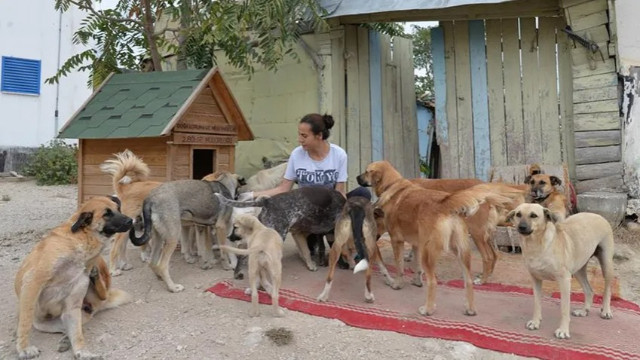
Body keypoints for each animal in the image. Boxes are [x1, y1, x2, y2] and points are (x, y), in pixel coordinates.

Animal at [13, 197, 132, 360]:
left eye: (118, 209)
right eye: (106, 214)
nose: (131, 220)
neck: (82, 239)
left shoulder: (73, 304)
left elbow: (77, 334)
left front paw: (82, 351)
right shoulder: (33, 282)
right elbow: (25, 322)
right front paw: (24, 348)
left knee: (100, 298)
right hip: (45, 322)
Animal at [358, 160, 524, 316]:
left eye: (366, 171)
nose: (356, 177)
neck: (393, 185)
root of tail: (446, 203)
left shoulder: (396, 240)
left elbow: (400, 267)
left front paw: (398, 284)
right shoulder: (417, 243)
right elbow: (417, 267)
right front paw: (417, 280)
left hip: (465, 238)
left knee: (436, 280)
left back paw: (428, 309)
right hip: (464, 248)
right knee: (473, 275)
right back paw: (472, 305)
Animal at [504, 204, 616, 338]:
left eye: (533, 215)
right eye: (518, 214)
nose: (521, 227)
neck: (536, 245)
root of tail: (598, 215)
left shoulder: (564, 280)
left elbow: (564, 309)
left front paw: (563, 330)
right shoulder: (535, 279)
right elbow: (537, 303)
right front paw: (535, 322)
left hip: (606, 264)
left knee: (608, 289)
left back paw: (606, 311)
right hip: (578, 269)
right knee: (589, 290)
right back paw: (584, 311)